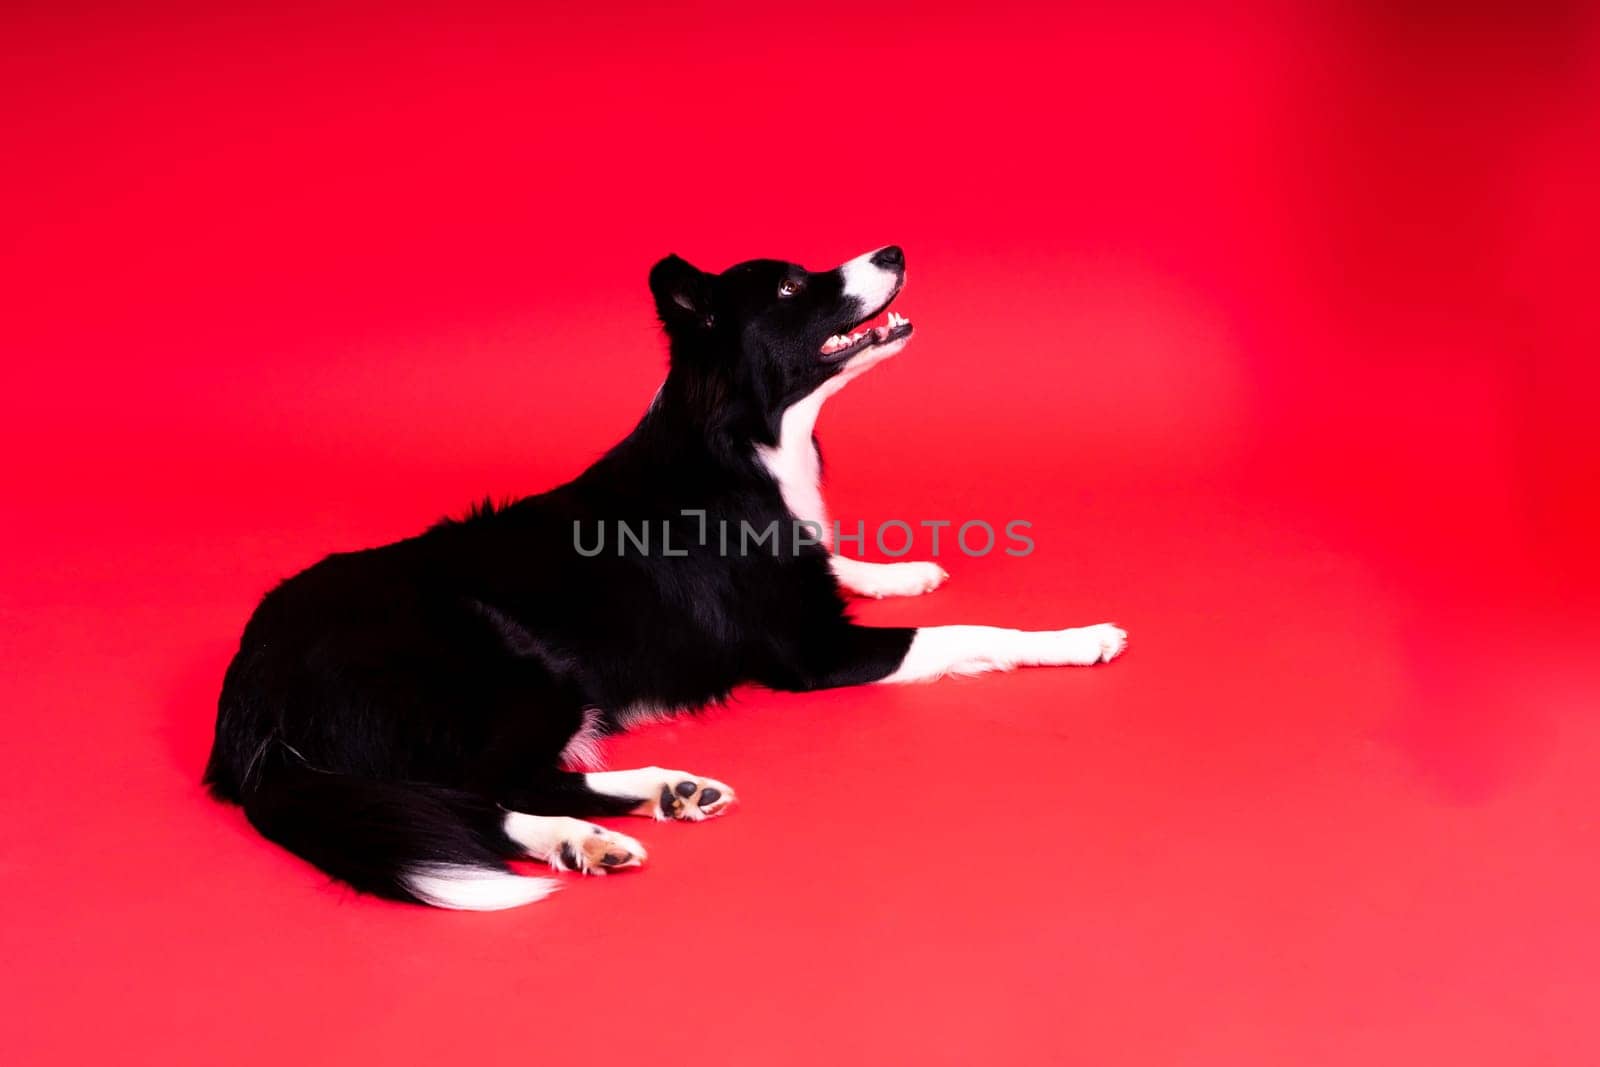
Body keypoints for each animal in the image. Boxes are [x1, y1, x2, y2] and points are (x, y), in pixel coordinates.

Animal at [209, 247, 1126, 908]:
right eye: (792, 285)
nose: (894, 249)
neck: (746, 442)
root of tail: (252, 703)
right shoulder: (815, 656)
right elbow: (972, 633)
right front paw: (1079, 637)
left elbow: (834, 557)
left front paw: (901, 570)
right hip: (516, 666)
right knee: (473, 793)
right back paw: (589, 833)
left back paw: (657, 798)